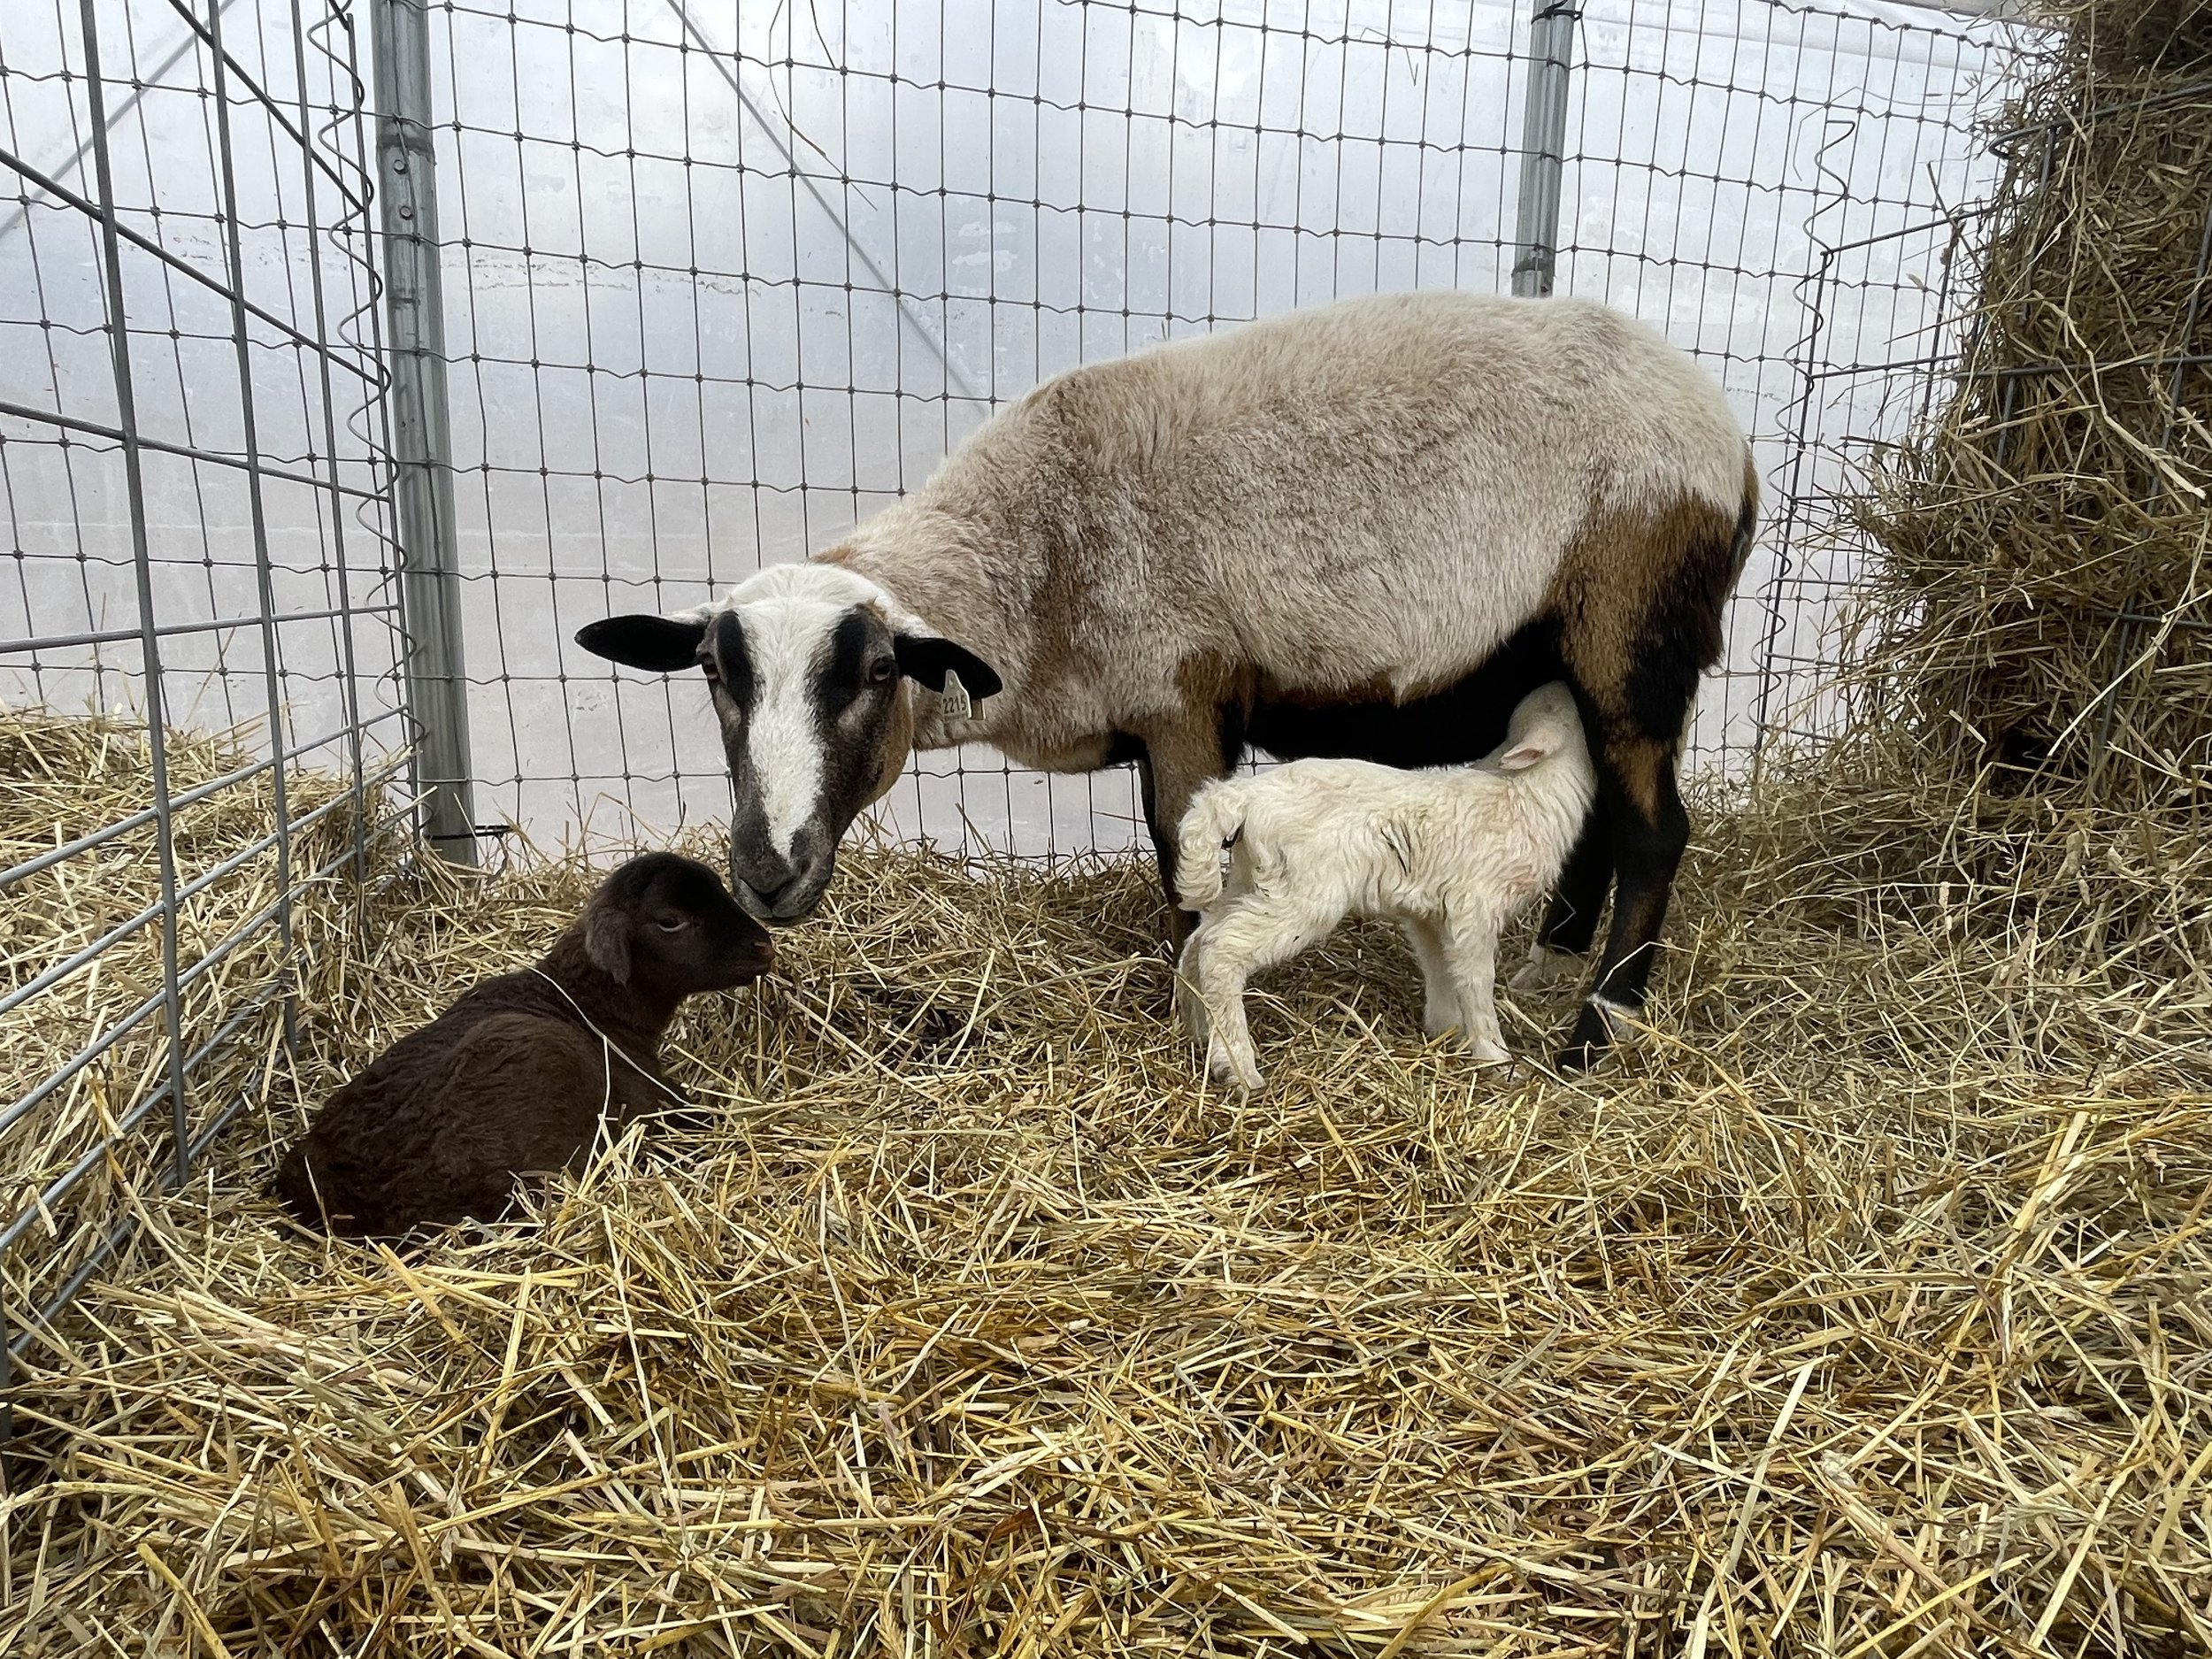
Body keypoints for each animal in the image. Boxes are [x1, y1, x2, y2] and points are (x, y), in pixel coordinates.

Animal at [1172, 682, 1596, 1092]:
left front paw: (1447, 1030)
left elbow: (1440, 967)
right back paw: (1238, 1068)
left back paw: (1198, 1032)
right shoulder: (1475, 906)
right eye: (1556, 709)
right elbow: (1476, 980)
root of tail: (1241, 796)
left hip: (1253, 877)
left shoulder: (1431, 912)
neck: (1527, 793)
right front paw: (1495, 1057)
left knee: (1198, 942)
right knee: (1222, 949)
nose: (1562, 681)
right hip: (1304, 891)